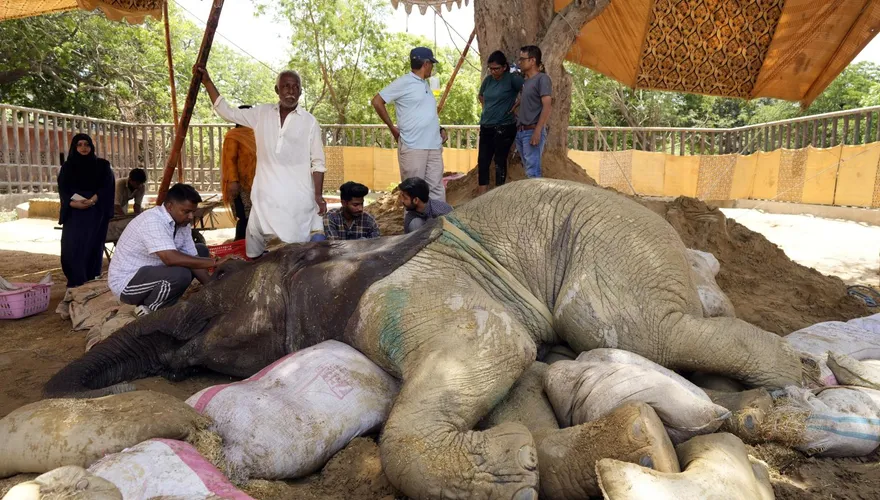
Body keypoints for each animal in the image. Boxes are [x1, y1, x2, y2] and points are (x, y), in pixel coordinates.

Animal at [44, 179, 806, 499]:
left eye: (213, 289)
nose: (52, 389)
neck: (323, 260)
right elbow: (517, 375)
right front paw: (525, 462)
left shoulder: (390, 298)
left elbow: (495, 345)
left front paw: (508, 474)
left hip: (614, 238)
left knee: (640, 328)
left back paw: (795, 378)